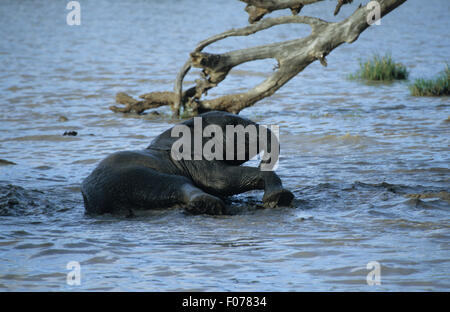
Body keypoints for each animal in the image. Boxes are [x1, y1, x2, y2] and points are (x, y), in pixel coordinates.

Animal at [81, 111, 294, 216]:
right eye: (232, 124)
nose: (264, 162)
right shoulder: (193, 156)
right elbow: (219, 180)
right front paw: (276, 197)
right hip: (134, 177)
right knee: (179, 184)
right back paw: (209, 206)